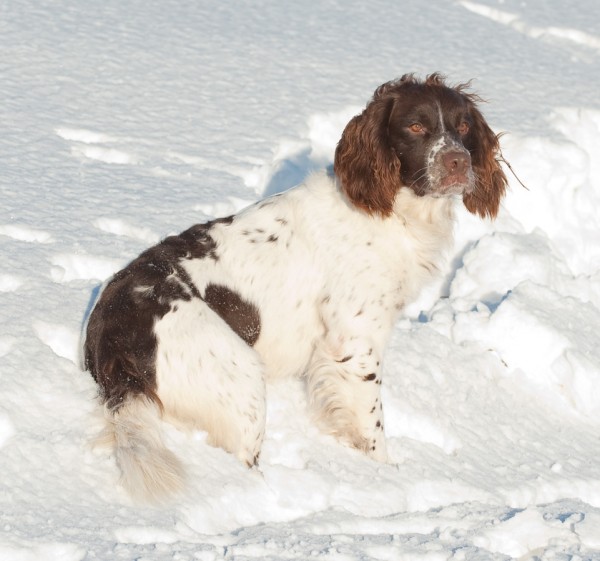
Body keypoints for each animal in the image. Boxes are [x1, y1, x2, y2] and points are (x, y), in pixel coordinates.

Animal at [84, 73, 506, 498]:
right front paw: (386, 476)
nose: (458, 161)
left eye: (463, 126)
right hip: (241, 377)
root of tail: (114, 335)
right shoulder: (356, 341)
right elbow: (372, 425)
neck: (392, 211)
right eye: (416, 126)